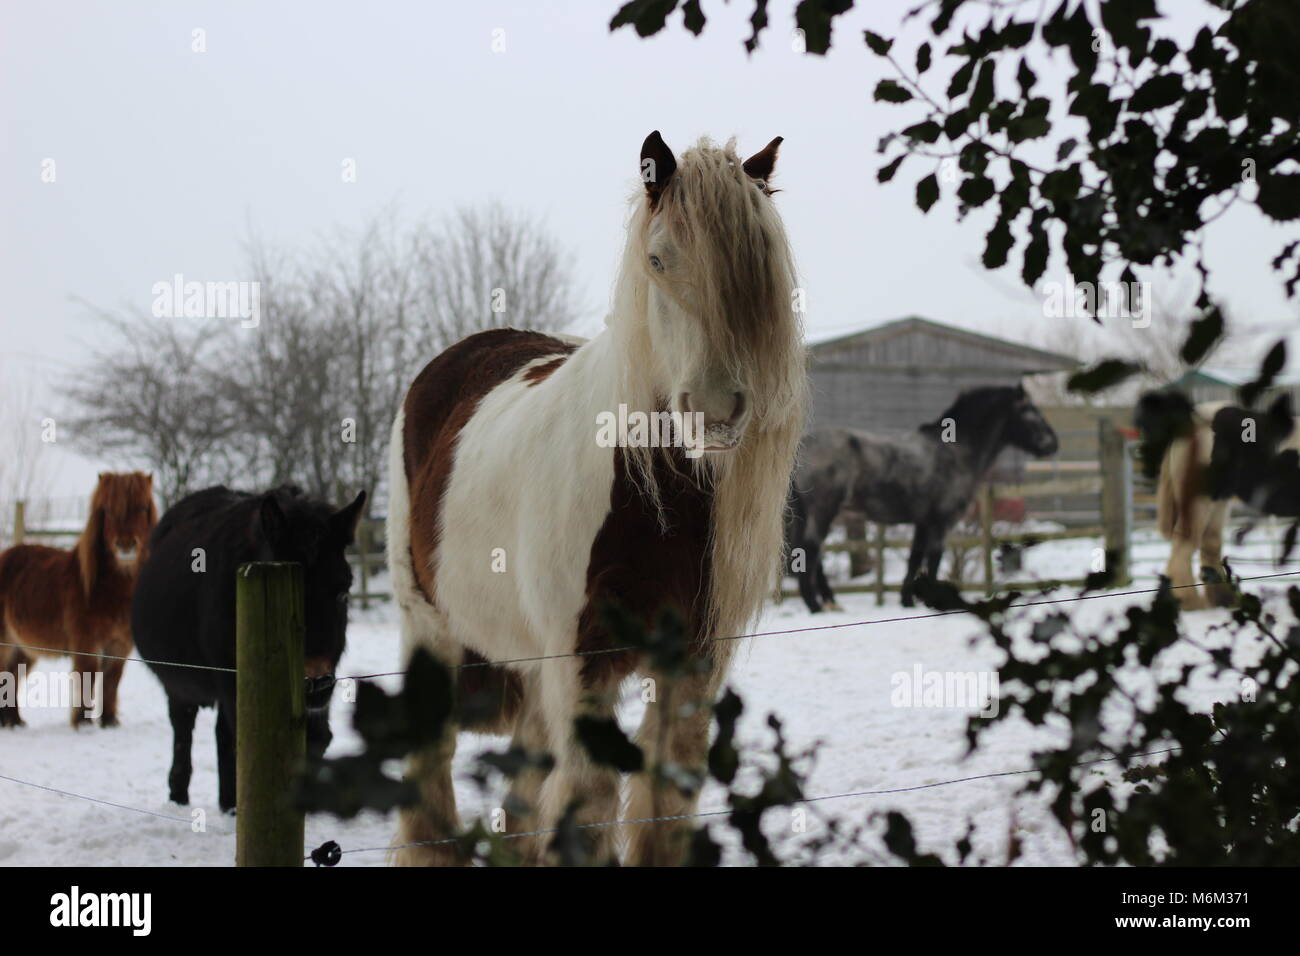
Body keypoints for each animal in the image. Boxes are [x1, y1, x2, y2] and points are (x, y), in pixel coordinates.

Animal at [0, 476, 157, 728]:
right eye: (108, 511)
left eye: (143, 508)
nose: (126, 545)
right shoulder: (86, 642)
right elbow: (87, 676)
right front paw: (83, 723)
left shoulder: (119, 645)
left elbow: (112, 681)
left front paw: (109, 722)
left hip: (24, 647)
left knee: (11, 676)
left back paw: (15, 722)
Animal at [133, 486, 366, 806]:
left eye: (343, 593)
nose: (315, 681)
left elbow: (317, 738)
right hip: (182, 682)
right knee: (185, 727)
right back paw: (181, 796)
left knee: (222, 733)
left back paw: (227, 803)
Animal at [390, 134, 806, 868]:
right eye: (658, 259)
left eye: (758, 265)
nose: (716, 410)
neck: (651, 495)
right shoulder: (582, 662)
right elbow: (587, 807)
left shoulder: (691, 663)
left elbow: (665, 805)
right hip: (429, 626)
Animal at [785, 385, 1060, 608]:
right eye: (1031, 412)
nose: (1053, 443)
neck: (955, 449)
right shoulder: (940, 521)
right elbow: (934, 559)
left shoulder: (923, 522)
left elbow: (915, 559)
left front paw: (907, 600)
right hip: (823, 511)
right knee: (809, 551)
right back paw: (815, 605)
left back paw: (829, 602)